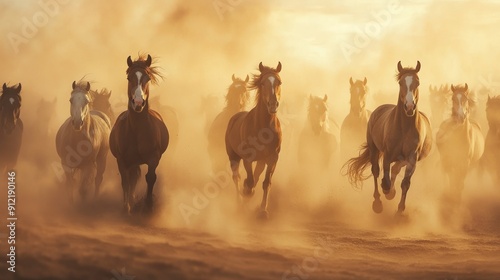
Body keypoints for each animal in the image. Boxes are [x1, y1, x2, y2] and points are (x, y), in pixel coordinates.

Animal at [109, 53, 168, 213]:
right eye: (129, 78)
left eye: (147, 78)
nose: (138, 103)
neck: (137, 130)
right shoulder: (121, 159)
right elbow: (125, 181)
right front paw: (127, 207)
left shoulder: (154, 158)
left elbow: (150, 177)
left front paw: (148, 205)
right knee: (132, 178)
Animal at [226, 61, 282, 219]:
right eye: (263, 83)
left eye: (279, 82)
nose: (273, 104)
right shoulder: (247, 158)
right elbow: (250, 181)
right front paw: (246, 192)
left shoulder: (273, 158)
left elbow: (266, 182)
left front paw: (263, 211)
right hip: (233, 156)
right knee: (236, 177)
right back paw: (240, 201)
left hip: (262, 160)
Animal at [344, 61, 434, 214]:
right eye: (400, 82)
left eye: (417, 82)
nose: (409, 107)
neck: (404, 129)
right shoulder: (387, 155)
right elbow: (384, 179)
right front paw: (387, 193)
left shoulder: (412, 159)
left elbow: (405, 183)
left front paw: (400, 209)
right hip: (374, 149)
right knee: (376, 171)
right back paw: (378, 202)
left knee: (396, 169)